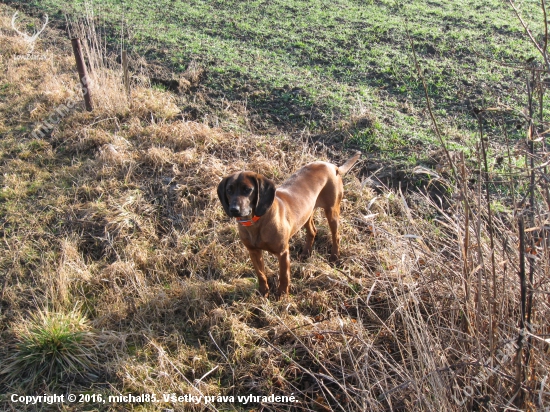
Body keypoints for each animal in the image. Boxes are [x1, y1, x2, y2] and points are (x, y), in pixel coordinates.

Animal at [218, 151, 364, 296]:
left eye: (248, 189)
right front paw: (264, 292)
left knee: (336, 235)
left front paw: (282, 295)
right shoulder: (253, 252)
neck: (256, 223)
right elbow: (261, 274)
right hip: (306, 213)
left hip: (332, 211)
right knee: (312, 231)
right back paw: (305, 253)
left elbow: (284, 276)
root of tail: (333, 166)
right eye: (229, 190)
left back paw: (334, 257)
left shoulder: (283, 253)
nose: (234, 209)